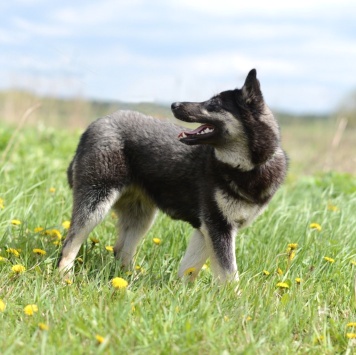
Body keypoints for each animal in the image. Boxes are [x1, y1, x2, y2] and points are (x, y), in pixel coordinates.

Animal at [58, 68, 286, 282]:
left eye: (213, 104)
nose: (174, 104)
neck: (249, 167)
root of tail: (96, 124)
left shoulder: (209, 229)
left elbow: (189, 270)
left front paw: (182, 292)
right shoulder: (218, 227)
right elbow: (229, 275)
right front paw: (232, 298)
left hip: (141, 216)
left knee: (121, 251)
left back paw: (128, 280)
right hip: (96, 203)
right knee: (69, 244)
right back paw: (65, 277)